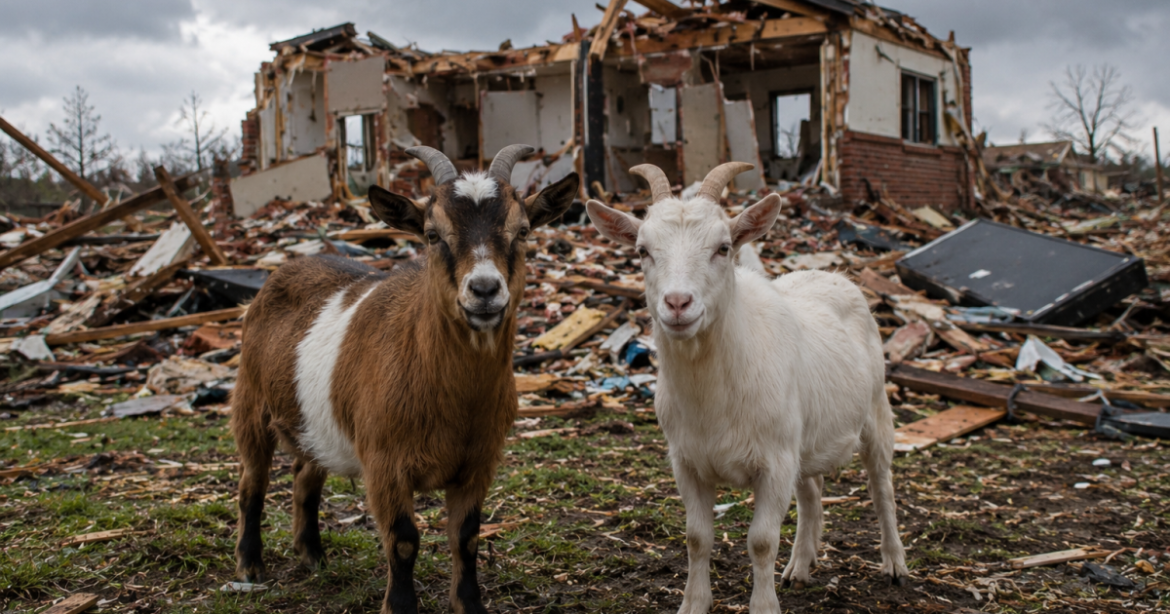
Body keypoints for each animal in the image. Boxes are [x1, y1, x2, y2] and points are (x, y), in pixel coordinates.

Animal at [231, 144, 579, 614]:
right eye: (432, 234)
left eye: (522, 231)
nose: (485, 290)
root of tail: (279, 274)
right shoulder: (384, 464)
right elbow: (402, 541)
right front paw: (399, 606)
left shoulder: (479, 463)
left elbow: (467, 538)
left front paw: (469, 605)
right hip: (250, 403)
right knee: (252, 482)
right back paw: (250, 566)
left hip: (314, 424)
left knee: (305, 477)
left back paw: (314, 556)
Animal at [585, 163, 908, 614]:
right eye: (642, 250)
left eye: (723, 248)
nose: (678, 304)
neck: (712, 392)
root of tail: (833, 275)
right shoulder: (687, 462)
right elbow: (697, 538)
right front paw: (694, 603)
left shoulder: (774, 463)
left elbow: (761, 542)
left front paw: (763, 606)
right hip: (802, 440)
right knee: (811, 492)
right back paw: (799, 566)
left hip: (875, 412)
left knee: (882, 488)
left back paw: (894, 564)